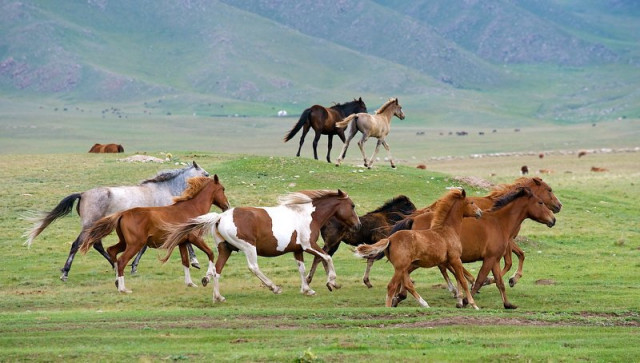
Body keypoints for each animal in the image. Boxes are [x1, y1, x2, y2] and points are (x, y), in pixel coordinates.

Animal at [79, 175, 230, 294]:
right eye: (222, 189)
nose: (227, 206)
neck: (191, 209)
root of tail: (123, 214)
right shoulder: (195, 238)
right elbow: (210, 253)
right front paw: (206, 278)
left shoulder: (182, 242)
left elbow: (185, 262)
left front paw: (190, 283)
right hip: (135, 244)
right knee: (121, 260)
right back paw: (123, 289)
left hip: (125, 243)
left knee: (112, 251)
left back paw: (117, 282)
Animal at [160, 191, 360, 304]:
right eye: (352, 206)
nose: (358, 225)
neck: (307, 215)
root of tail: (220, 217)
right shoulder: (308, 244)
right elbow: (327, 257)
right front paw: (332, 281)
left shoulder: (297, 250)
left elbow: (302, 269)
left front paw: (307, 289)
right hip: (248, 247)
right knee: (253, 267)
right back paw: (274, 287)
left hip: (225, 249)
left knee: (217, 270)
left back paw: (218, 297)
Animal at [352, 189, 482, 312]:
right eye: (471, 202)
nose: (480, 212)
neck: (448, 230)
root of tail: (390, 238)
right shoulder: (455, 259)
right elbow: (463, 281)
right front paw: (473, 304)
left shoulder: (447, 261)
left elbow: (457, 277)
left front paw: (460, 300)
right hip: (400, 268)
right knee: (392, 286)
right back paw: (390, 306)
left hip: (403, 268)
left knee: (407, 284)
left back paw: (423, 304)